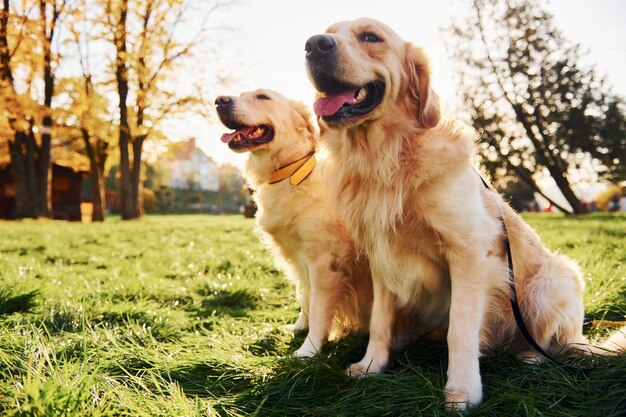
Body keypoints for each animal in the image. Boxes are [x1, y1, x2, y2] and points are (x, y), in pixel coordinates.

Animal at [213, 89, 370, 356]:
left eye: (262, 97)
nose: (218, 100)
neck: (290, 172)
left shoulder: (324, 263)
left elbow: (318, 310)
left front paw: (309, 350)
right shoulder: (299, 259)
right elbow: (305, 297)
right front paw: (299, 328)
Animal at [304, 17, 624, 408]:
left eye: (370, 37)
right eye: (328, 31)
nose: (314, 44)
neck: (385, 156)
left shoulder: (469, 253)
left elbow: (460, 330)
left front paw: (462, 390)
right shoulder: (381, 259)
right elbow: (379, 321)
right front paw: (370, 365)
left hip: (553, 280)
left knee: (551, 343)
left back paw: (530, 356)